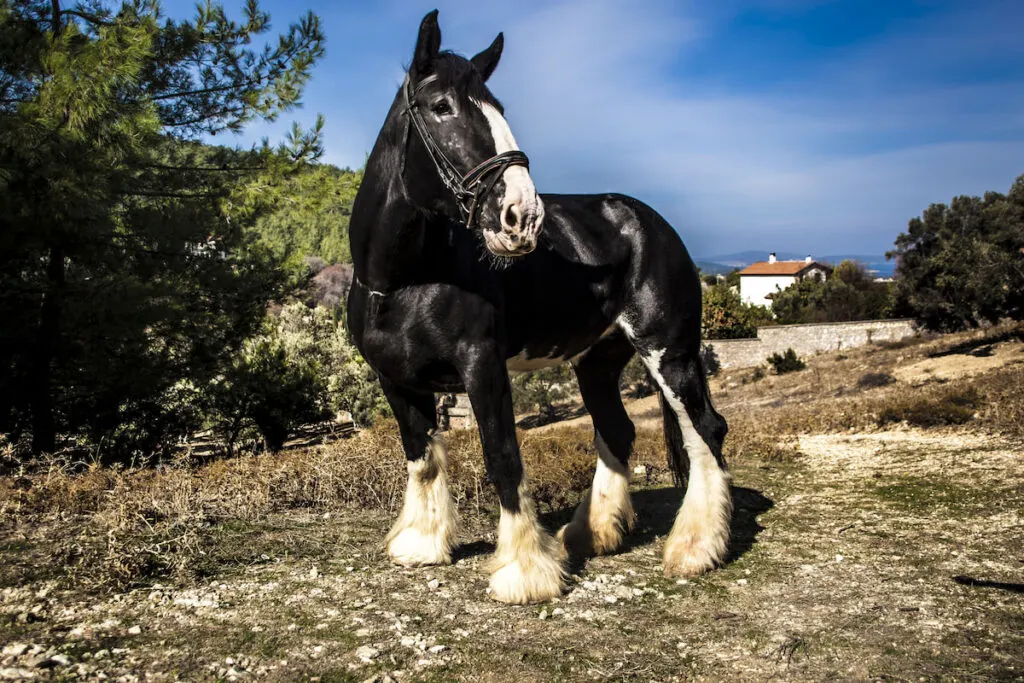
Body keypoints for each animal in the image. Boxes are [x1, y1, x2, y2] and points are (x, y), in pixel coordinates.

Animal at [348, 10, 733, 602]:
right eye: (441, 106)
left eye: (500, 109)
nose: (522, 215)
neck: (403, 280)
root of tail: (650, 222)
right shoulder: (397, 379)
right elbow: (422, 459)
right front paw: (422, 544)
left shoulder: (482, 365)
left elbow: (503, 456)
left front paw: (524, 571)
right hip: (599, 361)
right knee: (617, 431)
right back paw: (591, 533)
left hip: (670, 351)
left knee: (705, 430)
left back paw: (696, 548)